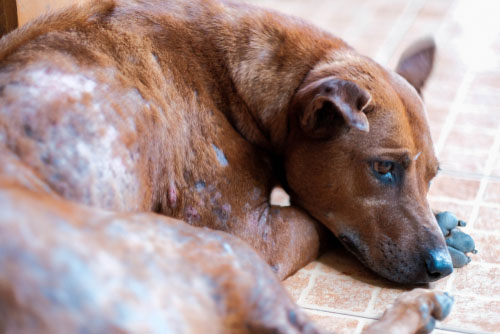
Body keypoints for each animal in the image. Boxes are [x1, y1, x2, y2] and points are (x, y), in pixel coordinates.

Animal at [0, 0, 476, 332]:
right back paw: (418, 308)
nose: (441, 267)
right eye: (382, 168)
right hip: (223, 252)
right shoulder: (255, 235)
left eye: (432, 176)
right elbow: (314, 221)